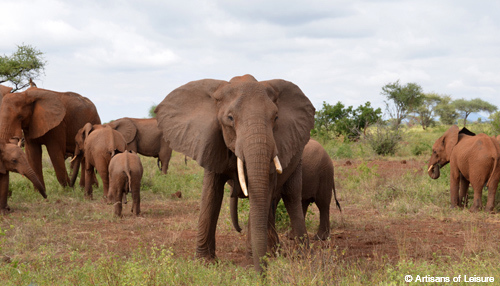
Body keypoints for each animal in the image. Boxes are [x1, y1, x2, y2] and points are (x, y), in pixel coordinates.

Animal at [154, 73, 314, 272]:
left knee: (291, 196)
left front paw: (249, 266)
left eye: (276, 117)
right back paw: (274, 253)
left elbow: (261, 193)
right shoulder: (210, 141)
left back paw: (302, 257)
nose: (263, 274)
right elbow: (211, 194)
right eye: (230, 118)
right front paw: (204, 263)